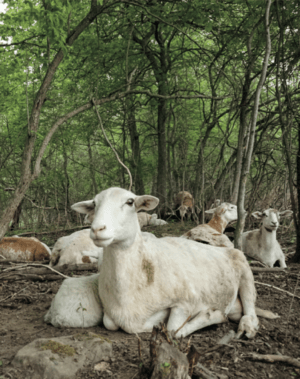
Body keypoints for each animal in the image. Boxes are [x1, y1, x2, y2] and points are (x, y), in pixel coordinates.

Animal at [46, 189, 278, 340]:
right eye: (94, 204)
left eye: (130, 202)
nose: (97, 229)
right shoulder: (112, 316)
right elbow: (111, 323)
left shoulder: (187, 300)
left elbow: (174, 329)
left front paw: (211, 315)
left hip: (245, 270)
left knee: (250, 306)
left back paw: (246, 325)